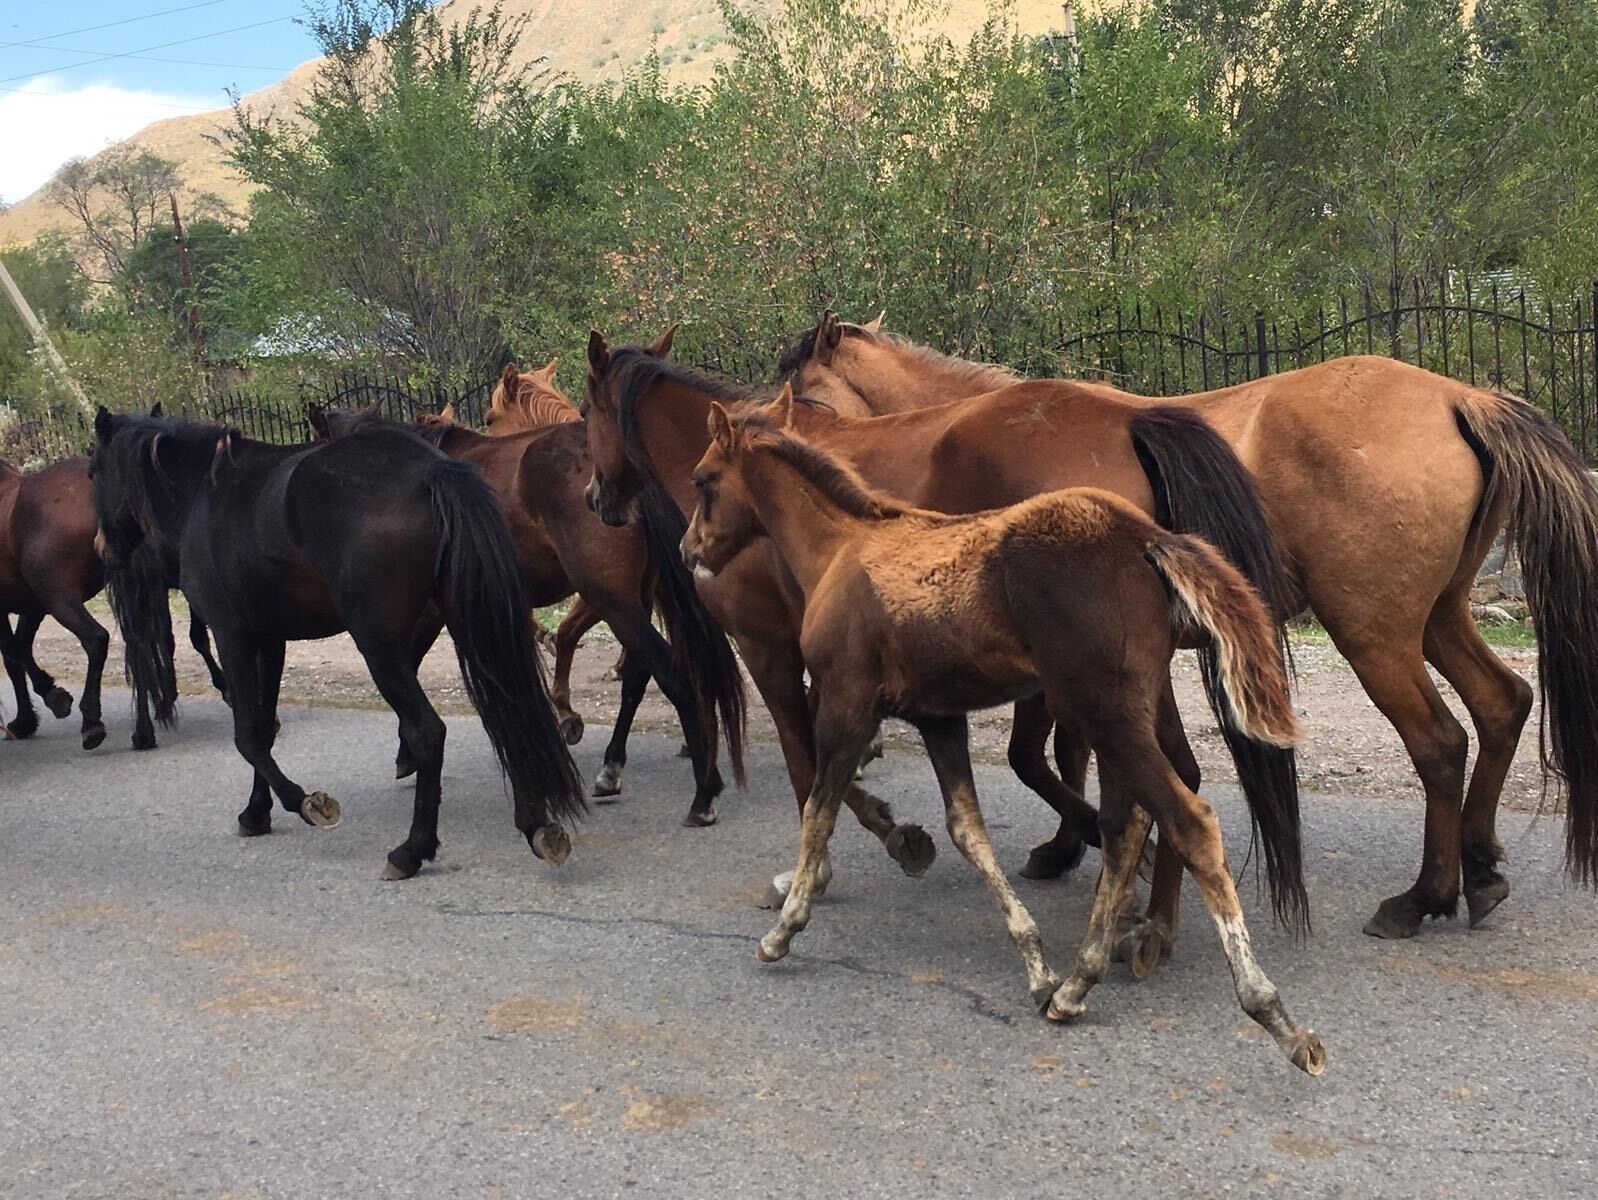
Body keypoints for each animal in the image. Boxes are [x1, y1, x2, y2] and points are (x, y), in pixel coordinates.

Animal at [90, 407, 586, 878]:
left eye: (93, 470)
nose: (101, 549)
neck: (205, 494)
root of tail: (432, 471)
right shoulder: (270, 640)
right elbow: (264, 728)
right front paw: (256, 813)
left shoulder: (232, 636)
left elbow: (247, 734)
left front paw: (304, 802)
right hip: (469, 622)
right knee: (508, 710)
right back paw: (536, 825)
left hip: (379, 644)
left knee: (428, 731)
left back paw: (411, 850)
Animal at [307, 388, 742, 827]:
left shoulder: (429, 613)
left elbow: (409, 668)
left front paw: (407, 753)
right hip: (635, 598)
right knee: (639, 675)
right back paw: (612, 768)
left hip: (611, 599)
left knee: (671, 673)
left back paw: (703, 793)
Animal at [582, 331, 1301, 966]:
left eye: (586, 413)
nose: (594, 497)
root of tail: (1127, 418)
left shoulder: (771, 650)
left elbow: (806, 766)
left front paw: (842, 860)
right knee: (1174, 774)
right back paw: (1149, 914)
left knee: (1157, 779)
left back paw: (1138, 911)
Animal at [680, 392, 1322, 1073]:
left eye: (703, 479)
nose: (690, 550)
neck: (843, 549)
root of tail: (1146, 537)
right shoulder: (938, 718)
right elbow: (968, 831)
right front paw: (1036, 964)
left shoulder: (846, 704)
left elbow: (818, 810)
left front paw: (785, 928)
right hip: (1125, 711)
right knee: (1127, 826)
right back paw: (1077, 983)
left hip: (1101, 710)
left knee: (1186, 820)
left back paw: (1272, 1014)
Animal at [781, 313, 1598, 938]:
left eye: (807, 399)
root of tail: (1460, 397)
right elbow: (1069, 756)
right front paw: (1071, 846)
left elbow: (1036, 757)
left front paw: (1096, 845)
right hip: (1439, 619)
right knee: (1501, 705)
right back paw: (1480, 867)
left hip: (1376, 638)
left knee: (1439, 743)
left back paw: (1424, 896)